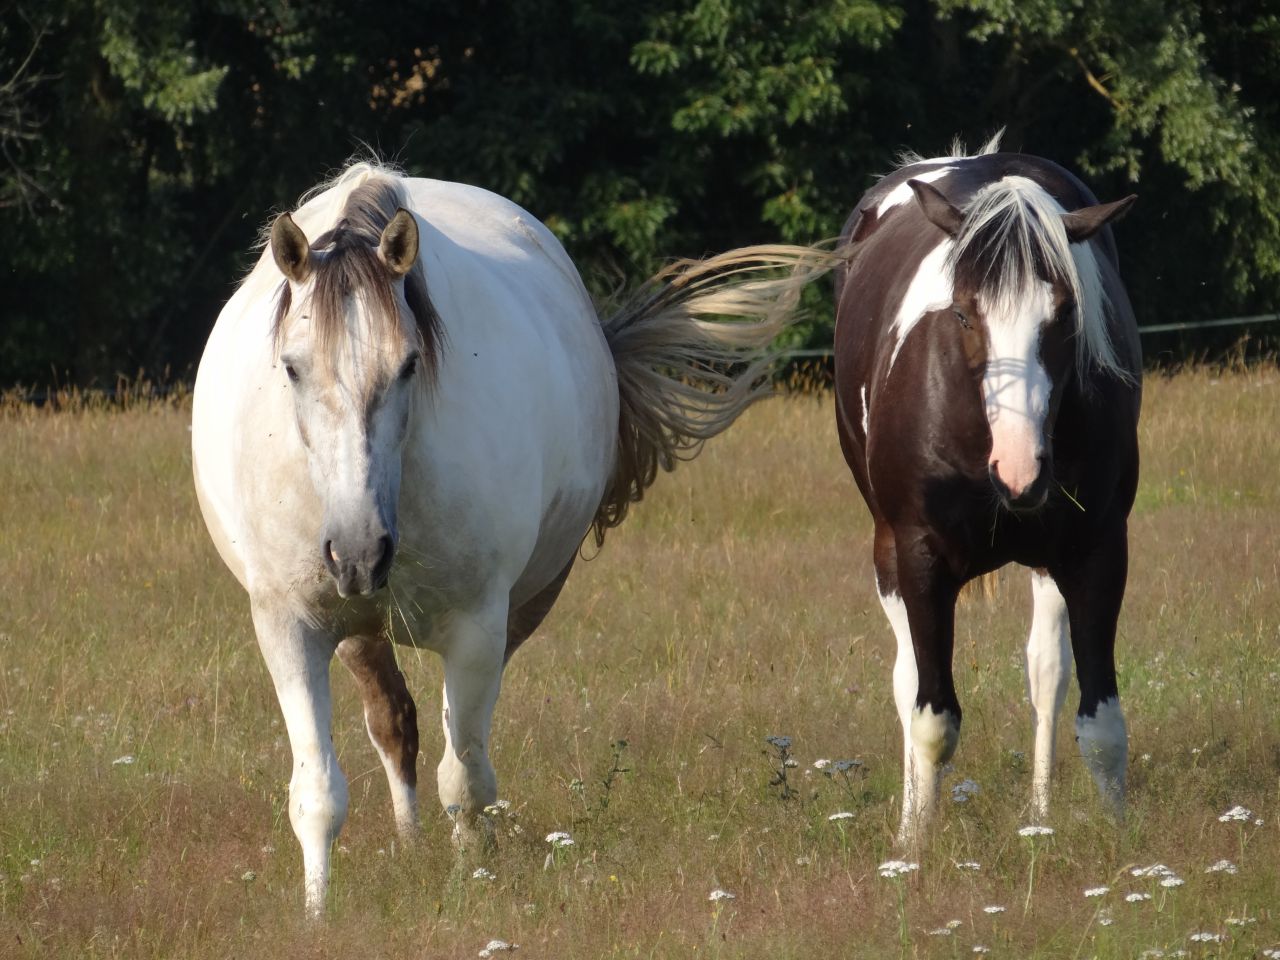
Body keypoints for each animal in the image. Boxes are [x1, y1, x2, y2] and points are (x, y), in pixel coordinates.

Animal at [192, 162, 834, 915]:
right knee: (396, 722)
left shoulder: (477, 624)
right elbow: (318, 791)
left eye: (409, 365)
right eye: (291, 367)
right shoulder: (292, 626)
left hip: (512, 609)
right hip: (359, 625)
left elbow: (465, 778)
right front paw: (319, 914)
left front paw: (473, 885)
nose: (358, 553)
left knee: (453, 738)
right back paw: (409, 840)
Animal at [832, 135, 1141, 846]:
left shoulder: (1098, 551)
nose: (1020, 469)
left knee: (1046, 673)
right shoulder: (918, 558)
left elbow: (1100, 722)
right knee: (909, 679)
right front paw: (914, 850)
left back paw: (1041, 812)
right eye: (964, 314)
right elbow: (932, 717)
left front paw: (1122, 848)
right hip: (890, 558)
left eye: (1065, 313)